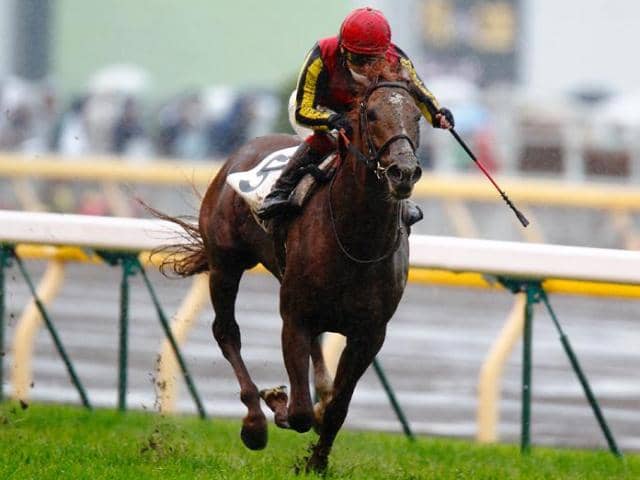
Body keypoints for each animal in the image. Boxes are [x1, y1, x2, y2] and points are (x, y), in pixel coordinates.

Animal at [161, 78, 423, 473]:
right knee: (226, 332)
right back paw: (255, 422)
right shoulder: (294, 319)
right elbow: (299, 412)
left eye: (417, 115)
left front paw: (316, 461)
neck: (357, 239)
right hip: (225, 265)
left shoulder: (370, 334)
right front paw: (277, 403)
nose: (403, 172)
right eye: (373, 114)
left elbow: (337, 409)